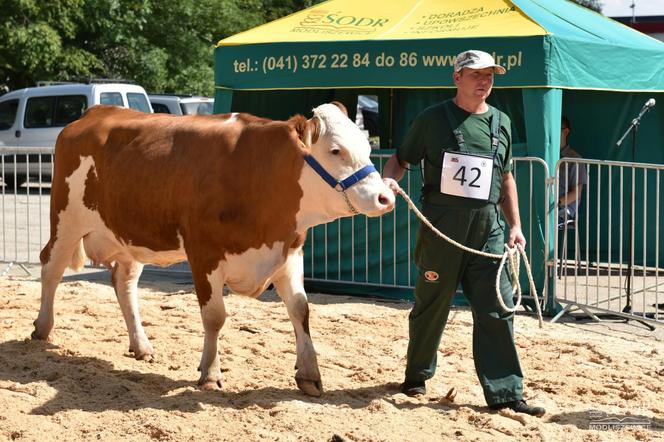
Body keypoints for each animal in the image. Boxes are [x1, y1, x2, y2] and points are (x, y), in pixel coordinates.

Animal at [32, 102, 394, 398]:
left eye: (366, 147)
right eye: (335, 151)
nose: (386, 197)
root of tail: (94, 113)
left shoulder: (290, 253)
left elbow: (300, 310)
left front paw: (310, 374)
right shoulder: (203, 253)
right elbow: (215, 316)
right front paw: (209, 374)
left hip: (129, 235)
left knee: (124, 282)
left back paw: (141, 345)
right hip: (66, 219)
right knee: (51, 267)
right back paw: (42, 328)